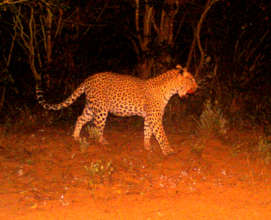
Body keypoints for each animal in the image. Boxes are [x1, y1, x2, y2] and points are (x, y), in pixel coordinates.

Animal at [36, 64, 198, 156]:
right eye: (191, 79)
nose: (197, 87)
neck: (170, 89)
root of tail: (88, 78)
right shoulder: (155, 117)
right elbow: (161, 135)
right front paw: (168, 151)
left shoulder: (149, 117)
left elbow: (147, 132)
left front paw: (147, 147)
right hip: (101, 110)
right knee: (97, 127)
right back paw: (103, 143)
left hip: (91, 108)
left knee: (80, 118)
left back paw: (76, 137)